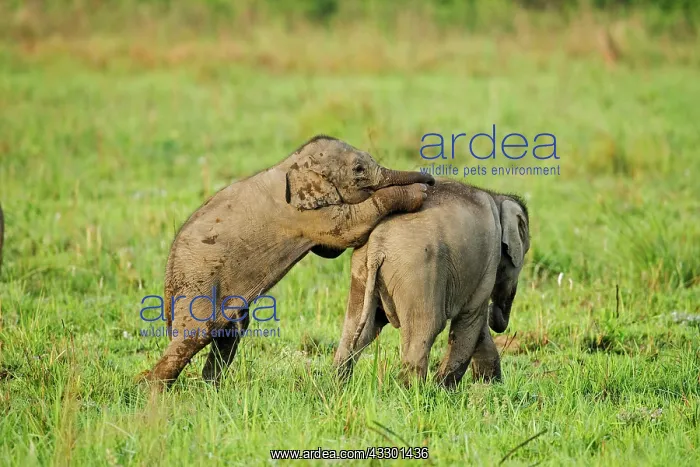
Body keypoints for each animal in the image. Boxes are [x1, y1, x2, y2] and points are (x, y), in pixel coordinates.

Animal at [141, 135, 435, 389]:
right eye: (359, 169)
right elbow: (349, 227)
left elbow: (332, 247)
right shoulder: (299, 215)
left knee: (231, 331)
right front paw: (418, 193)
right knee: (194, 336)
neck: (292, 163)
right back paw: (156, 391)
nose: (431, 181)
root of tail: (168, 279)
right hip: (197, 286)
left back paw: (212, 390)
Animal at [333, 179, 530, 388]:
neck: (497, 198)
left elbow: (478, 327)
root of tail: (378, 245)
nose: (497, 313)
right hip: (419, 271)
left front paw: (489, 385)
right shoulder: (489, 261)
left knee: (358, 330)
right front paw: (444, 388)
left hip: (362, 271)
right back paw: (412, 390)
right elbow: (471, 318)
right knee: (427, 327)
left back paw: (338, 385)